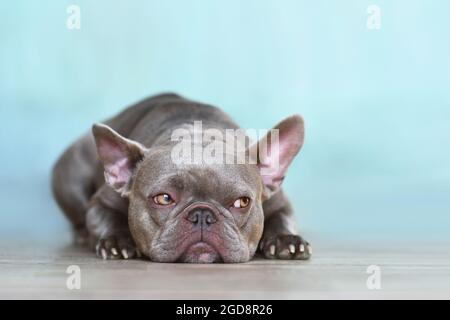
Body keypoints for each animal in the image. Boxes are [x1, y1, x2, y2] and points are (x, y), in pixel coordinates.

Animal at [52, 93, 312, 262]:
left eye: (242, 202)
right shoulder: (101, 202)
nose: (202, 215)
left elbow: (282, 217)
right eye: (164, 198)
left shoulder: (279, 201)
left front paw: (287, 240)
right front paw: (117, 241)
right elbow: (106, 218)